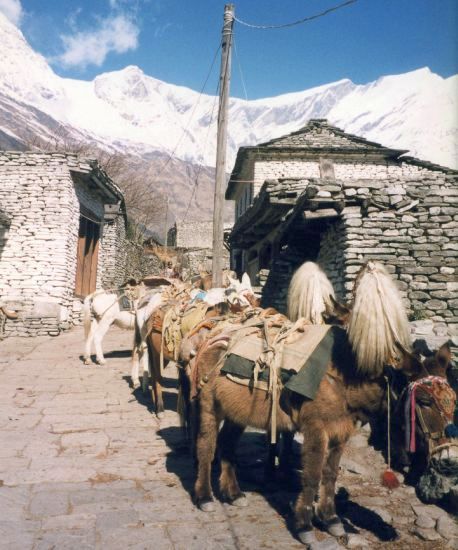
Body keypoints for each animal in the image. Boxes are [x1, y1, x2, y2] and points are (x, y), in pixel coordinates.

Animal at [191, 264, 454, 548]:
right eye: (425, 401)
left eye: (453, 400)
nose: (447, 460)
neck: (342, 377)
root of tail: (216, 335)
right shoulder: (316, 430)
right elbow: (313, 474)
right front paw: (304, 524)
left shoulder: (341, 431)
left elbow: (330, 474)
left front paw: (331, 519)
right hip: (209, 407)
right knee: (206, 446)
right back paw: (205, 497)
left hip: (236, 414)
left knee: (227, 445)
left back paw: (233, 494)